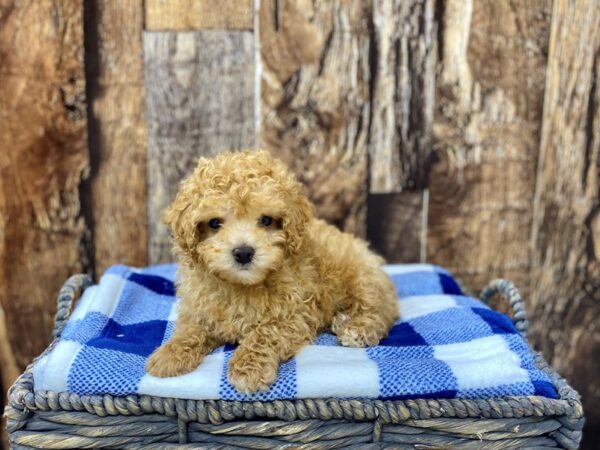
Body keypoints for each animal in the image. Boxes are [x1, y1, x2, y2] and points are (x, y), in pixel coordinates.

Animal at [145, 149, 398, 392]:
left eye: (266, 220)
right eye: (215, 223)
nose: (243, 252)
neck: (241, 285)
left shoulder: (295, 314)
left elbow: (265, 333)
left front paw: (248, 368)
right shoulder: (199, 308)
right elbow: (189, 328)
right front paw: (169, 355)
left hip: (360, 277)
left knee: (380, 310)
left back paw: (357, 328)